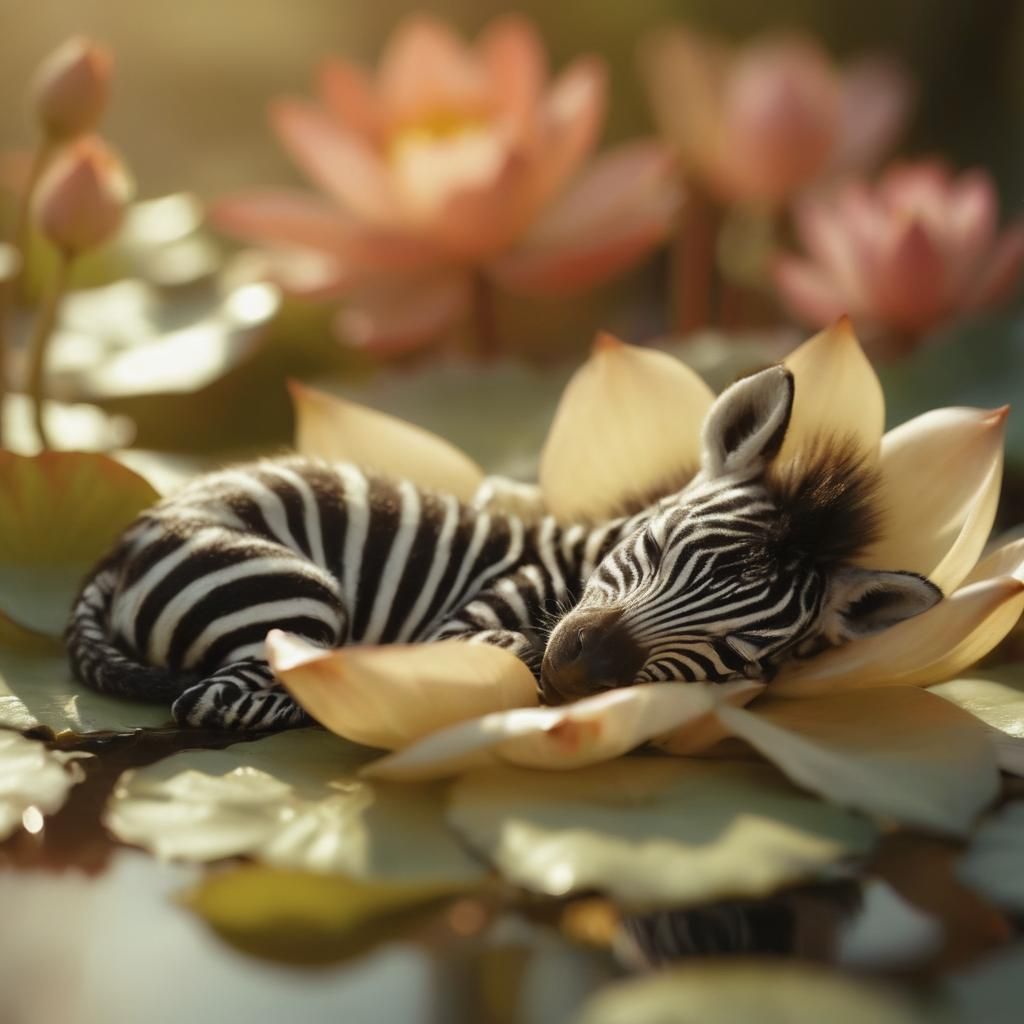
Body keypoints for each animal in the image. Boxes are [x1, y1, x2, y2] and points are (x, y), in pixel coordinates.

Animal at [66, 364, 941, 731]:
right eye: (656, 544)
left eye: (734, 659)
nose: (581, 671)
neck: (570, 562)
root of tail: (120, 550)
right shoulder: (466, 622)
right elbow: (501, 646)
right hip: (291, 588)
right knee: (217, 700)